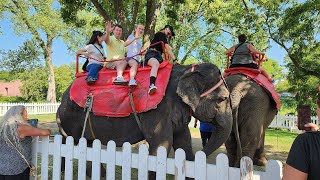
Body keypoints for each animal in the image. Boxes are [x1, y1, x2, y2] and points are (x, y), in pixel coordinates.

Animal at [57, 63, 232, 177]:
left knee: (88, 144)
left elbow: (183, 142)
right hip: (71, 117)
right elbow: (161, 145)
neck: (187, 69)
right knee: (72, 141)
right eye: (222, 99)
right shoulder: (157, 111)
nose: (201, 155)